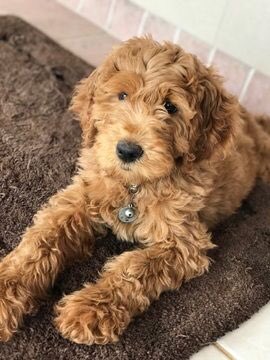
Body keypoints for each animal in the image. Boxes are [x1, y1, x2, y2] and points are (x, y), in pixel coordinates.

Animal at [0, 36, 270, 344]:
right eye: (121, 96)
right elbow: (41, 240)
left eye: (170, 106)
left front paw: (92, 307)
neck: (134, 186)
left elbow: (134, 267)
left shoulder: (184, 243)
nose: (128, 151)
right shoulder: (80, 197)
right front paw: (6, 290)